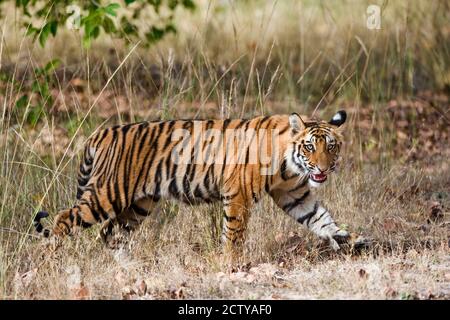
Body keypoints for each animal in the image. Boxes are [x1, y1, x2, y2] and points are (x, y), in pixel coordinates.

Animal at [35, 110, 350, 258]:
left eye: (332, 146)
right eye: (310, 147)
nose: (324, 168)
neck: (289, 165)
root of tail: (101, 133)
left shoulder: (294, 195)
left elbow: (320, 219)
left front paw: (348, 242)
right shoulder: (238, 195)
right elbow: (233, 235)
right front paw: (231, 265)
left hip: (138, 205)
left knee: (111, 234)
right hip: (107, 194)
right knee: (64, 219)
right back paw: (50, 258)